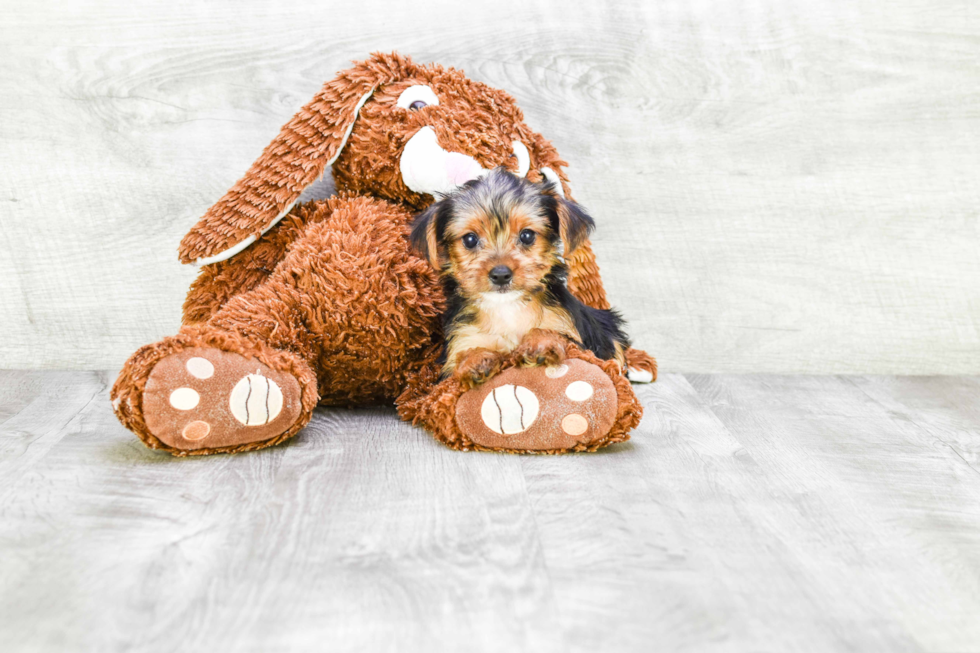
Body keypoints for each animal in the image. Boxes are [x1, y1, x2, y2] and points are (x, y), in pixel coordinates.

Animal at [410, 167, 632, 388]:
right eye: (470, 239)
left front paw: (540, 343)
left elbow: (554, 334)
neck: (507, 306)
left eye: (527, 235)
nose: (500, 275)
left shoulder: (573, 334)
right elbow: (462, 356)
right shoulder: (462, 339)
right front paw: (475, 360)